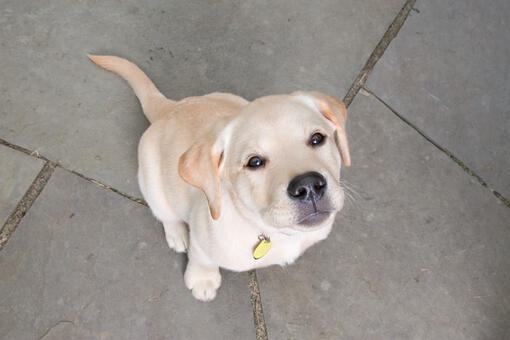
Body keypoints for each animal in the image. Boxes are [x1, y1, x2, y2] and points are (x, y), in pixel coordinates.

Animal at [89, 54, 350, 302]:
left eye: (317, 138)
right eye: (254, 162)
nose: (309, 186)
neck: (270, 229)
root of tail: (170, 107)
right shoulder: (201, 236)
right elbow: (201, 256)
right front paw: (202, 280)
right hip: (150, 178)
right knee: (164, 213)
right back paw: (177, 234)